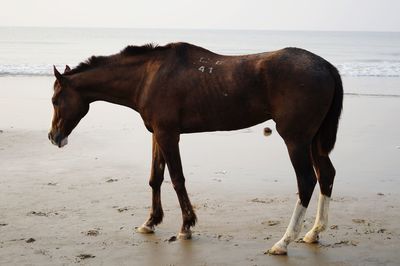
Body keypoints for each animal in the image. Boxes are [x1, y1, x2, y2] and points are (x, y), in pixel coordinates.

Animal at [48, 42, 342, 256]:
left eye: (55, 100)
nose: (53, 136)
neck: (148, 77)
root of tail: (326, 66)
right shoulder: (158, 135)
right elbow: (155, 178)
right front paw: (151, 222)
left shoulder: (169, 135)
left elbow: (177, 179)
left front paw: (186, 225)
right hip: (313, 141)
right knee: (326, 175)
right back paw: (314, 232)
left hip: (296, 140)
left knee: (306, 181)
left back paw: (283, 242)